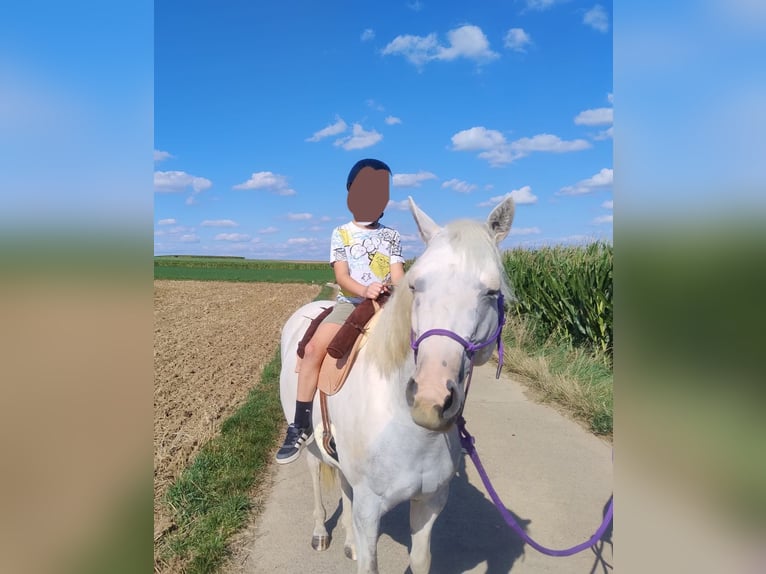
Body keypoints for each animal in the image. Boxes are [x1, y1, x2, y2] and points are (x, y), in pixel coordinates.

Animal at [278, 195, 515, 574]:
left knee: (343, 484)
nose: (430, 400)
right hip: (309, 443)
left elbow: (420, 559)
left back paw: (348, 542)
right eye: (416, 285)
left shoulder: (429, 503)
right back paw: (319, 532)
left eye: (492, 291)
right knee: (316, 475)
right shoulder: (370, 510)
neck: (408, 429)